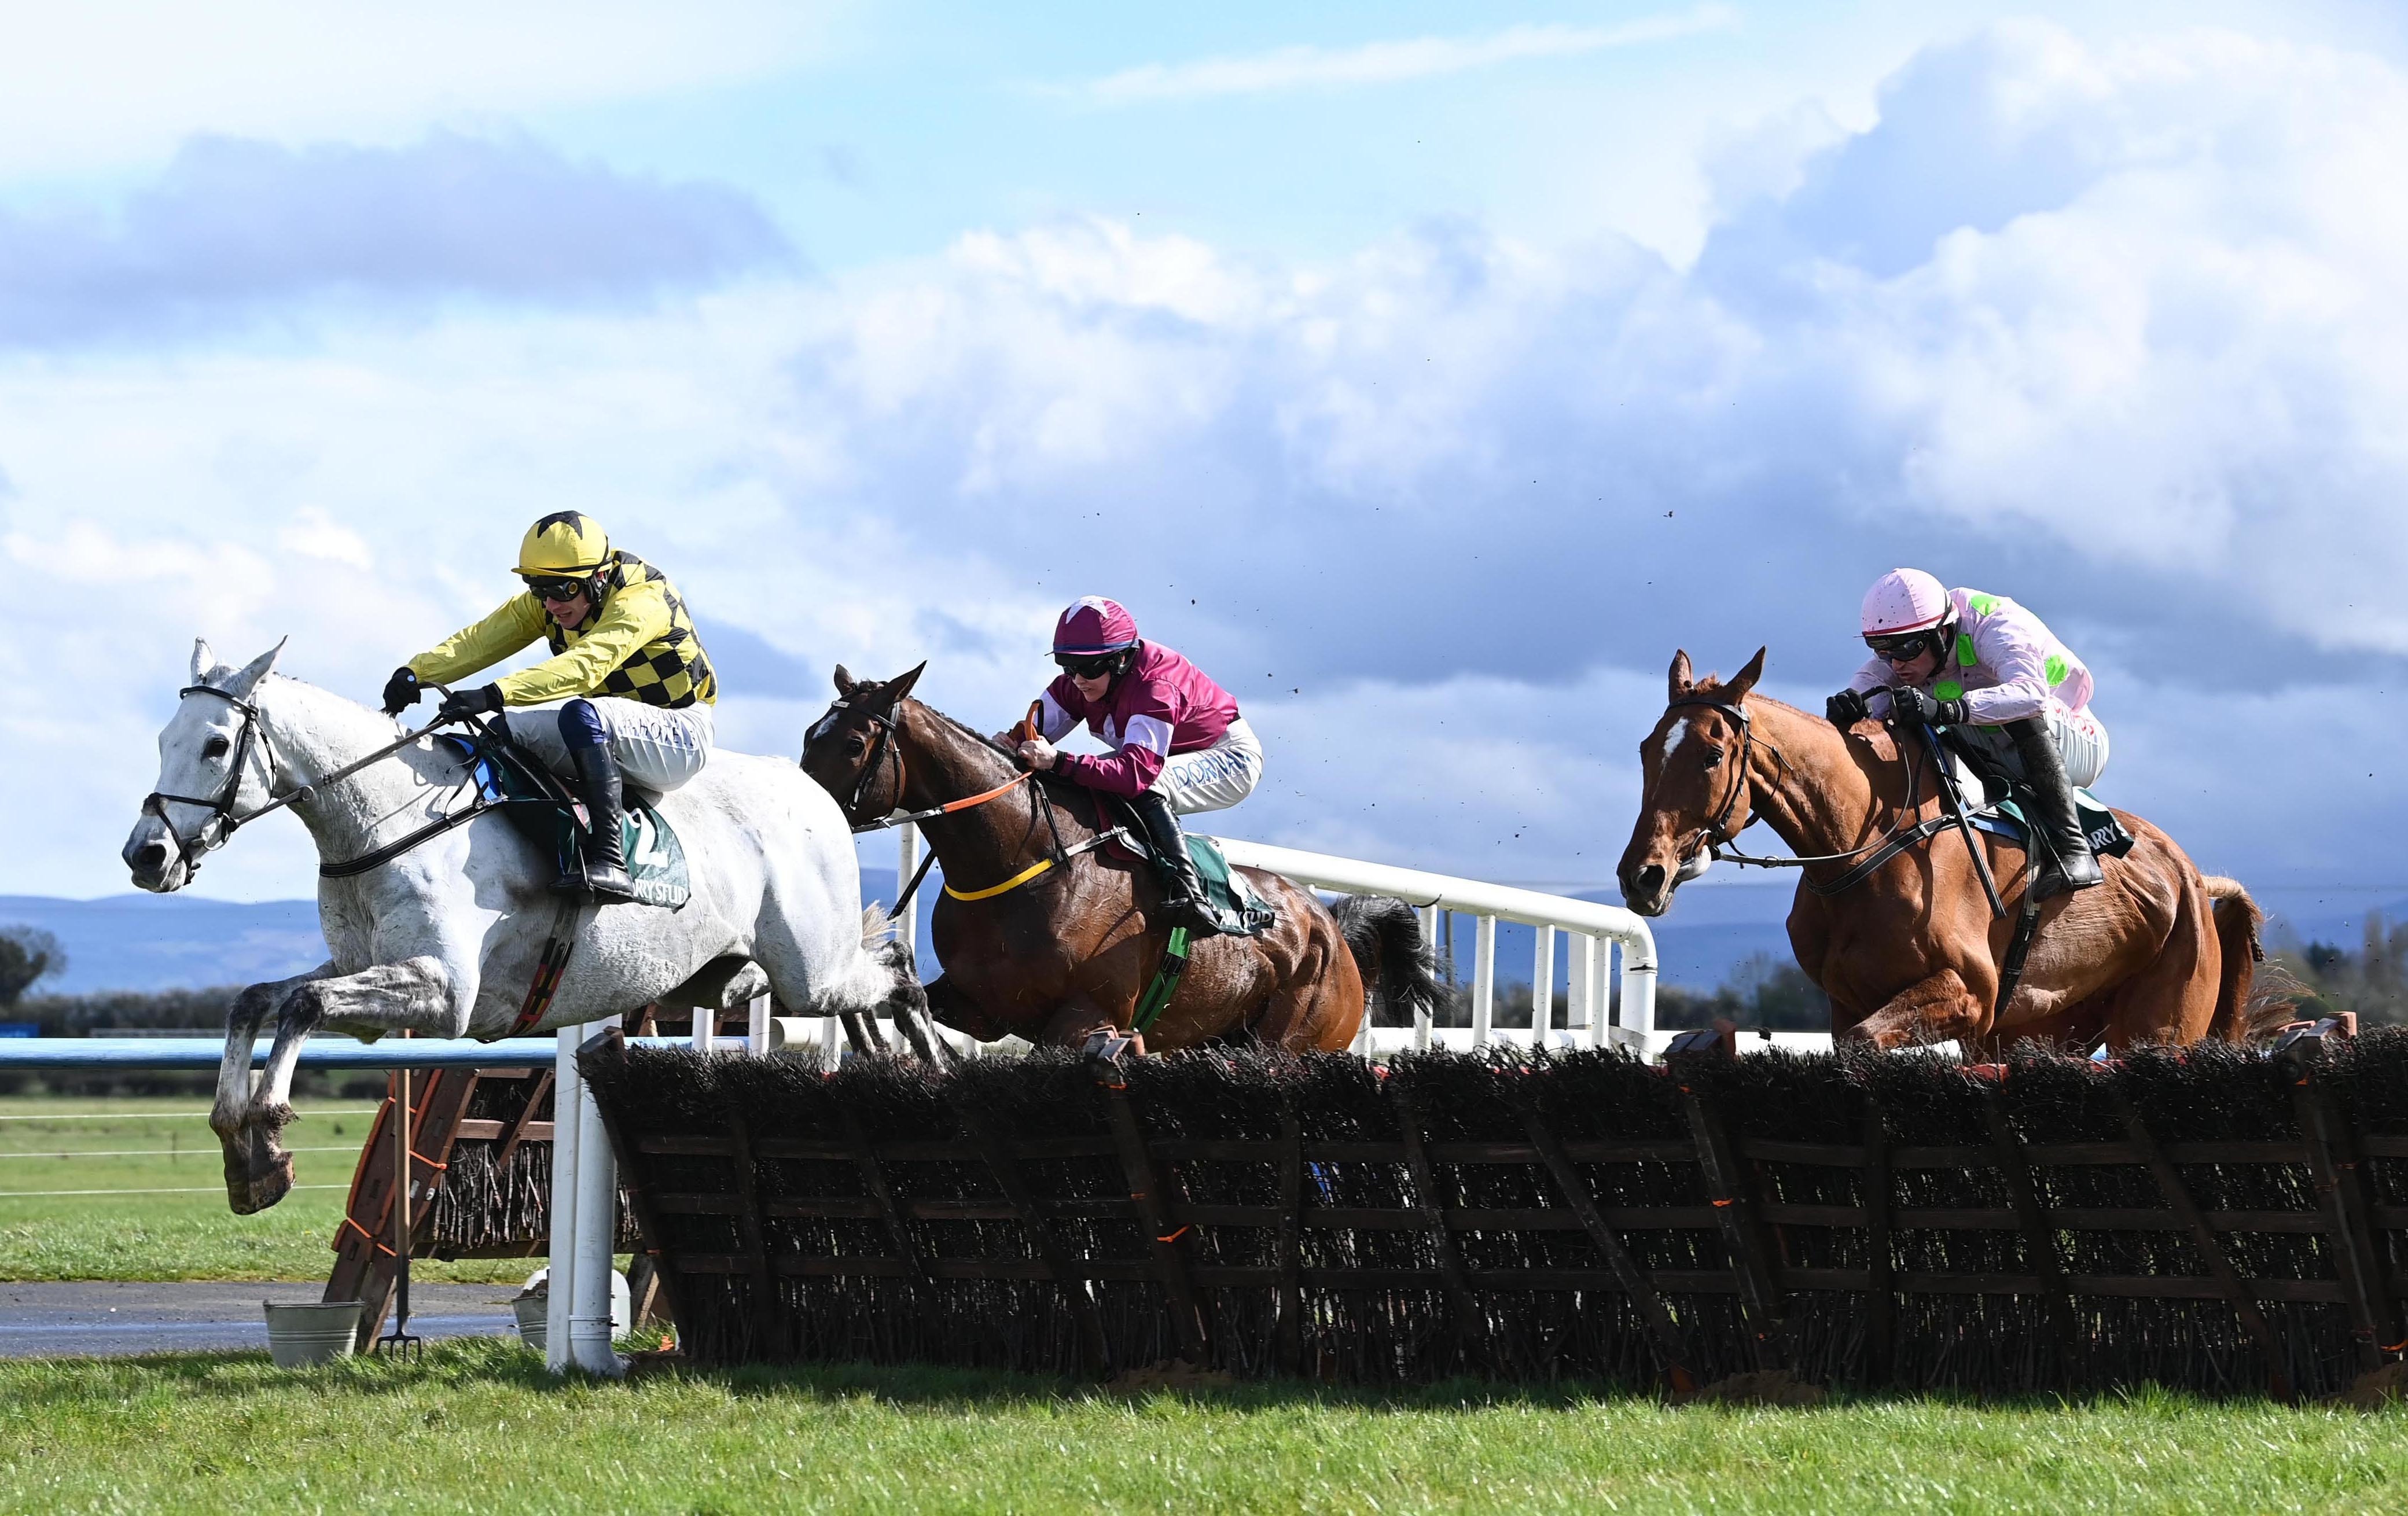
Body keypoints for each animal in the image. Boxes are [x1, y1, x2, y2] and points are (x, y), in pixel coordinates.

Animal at [799, 664, 1435, 1058]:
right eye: (810, 734)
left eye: (853, 744)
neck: (1021, 864)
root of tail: (1335, 934)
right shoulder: (981, 1005)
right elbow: (916, 1000)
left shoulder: (1083, 1018)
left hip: (1289, 1045)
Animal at [1618, 649, 2253, 1058]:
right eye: (1646, 749)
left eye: (1711, 756)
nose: (1642, 877)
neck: (1862, 849)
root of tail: (2194, 876)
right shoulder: (1847, 1001)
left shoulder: (1970, 992)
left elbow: (1869, 1042)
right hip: (2046, 1027)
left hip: (2161, 1024)